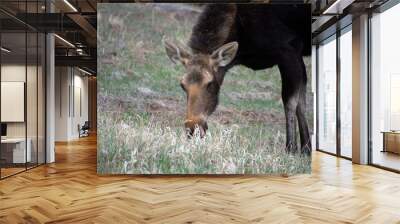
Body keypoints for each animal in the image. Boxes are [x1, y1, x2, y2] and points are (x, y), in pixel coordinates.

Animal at [164, 3, 310, 155]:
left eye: (210, 83)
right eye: (182, 84)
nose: (193, 128)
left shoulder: (289, 48)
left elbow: (290, 101)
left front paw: (291, 149)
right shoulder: (297, 54)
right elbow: (302, 102)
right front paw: (306, 149)